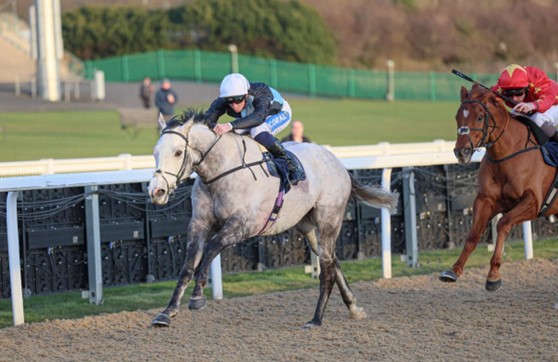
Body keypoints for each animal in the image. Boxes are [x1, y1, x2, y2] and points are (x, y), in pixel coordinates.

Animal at [150, 109, 398, 328]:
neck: (221, 171)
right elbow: (187, 266)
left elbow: (211, 249)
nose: (157, 191)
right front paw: (167, 312)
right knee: (333, 262)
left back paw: (316, 319)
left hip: (329, 220)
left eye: (178, 152)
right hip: (308, 227)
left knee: (327, 269)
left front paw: (197, 296)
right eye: (155, 152)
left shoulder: (244, 224)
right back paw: (354, 308)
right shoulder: (199, 223)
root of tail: (340, 165)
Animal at [440, 83, 556, 290]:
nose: (461, 151)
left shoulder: (534, 202)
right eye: (457, 116)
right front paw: (453, 270)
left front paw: (493, 275)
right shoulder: (486, 200)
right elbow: (473, 236)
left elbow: (503, 223)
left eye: (479, 117)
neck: (507, 154)